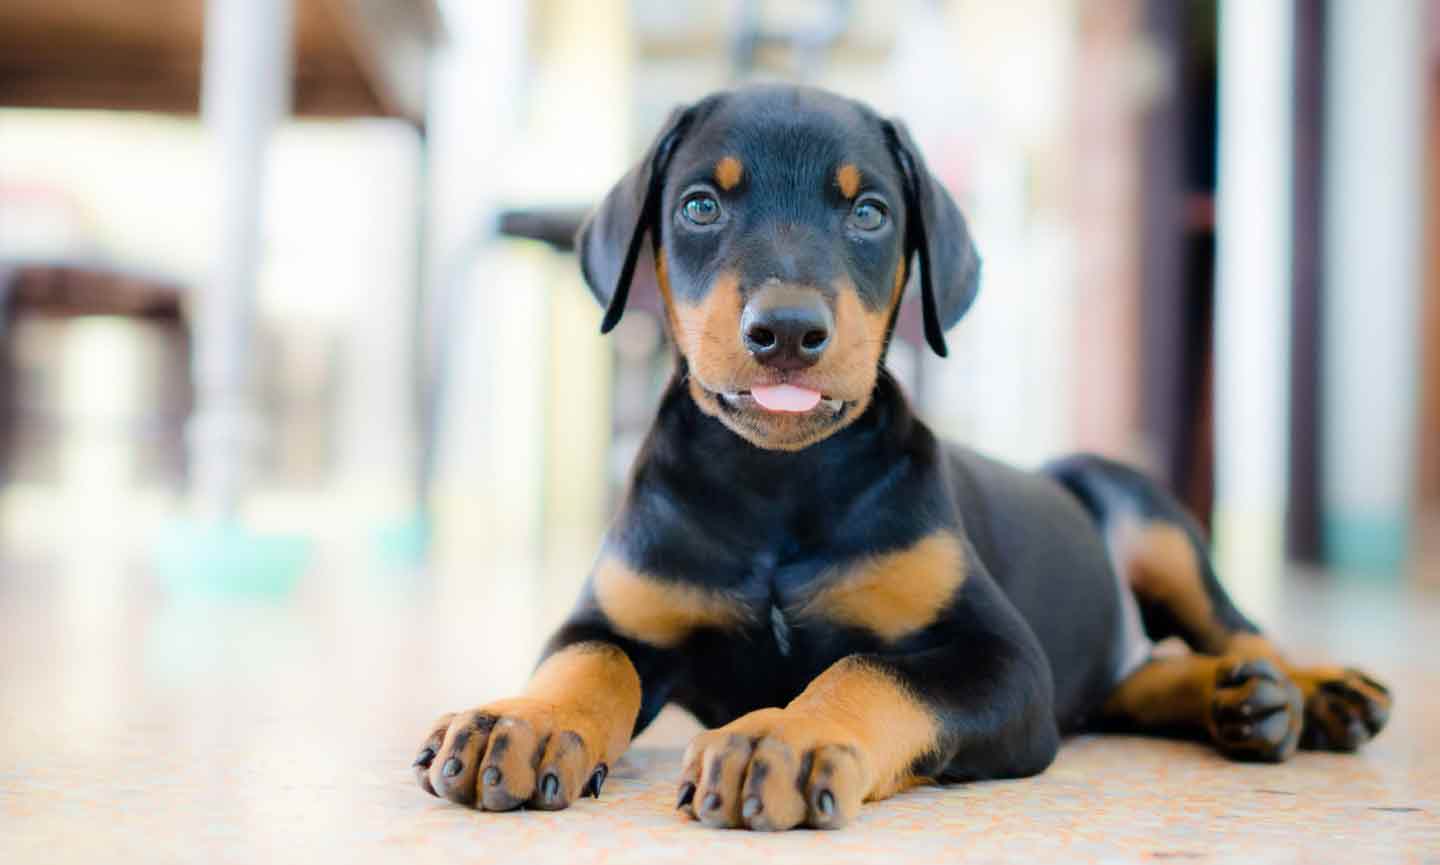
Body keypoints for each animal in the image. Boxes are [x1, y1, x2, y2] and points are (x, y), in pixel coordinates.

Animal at [411, 87, 1388, 829]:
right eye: (699, 205)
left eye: (870, 212)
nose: (788, 331)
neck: (778, 484)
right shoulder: (623, 610)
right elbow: (588, 661)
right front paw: (522, 721)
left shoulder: (1003, 659)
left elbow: (868, 668)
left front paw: (786, 739)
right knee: (1129, 682)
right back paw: (1238, 699)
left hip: (1147, 516)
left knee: (1236, 624)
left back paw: (1309, 688)